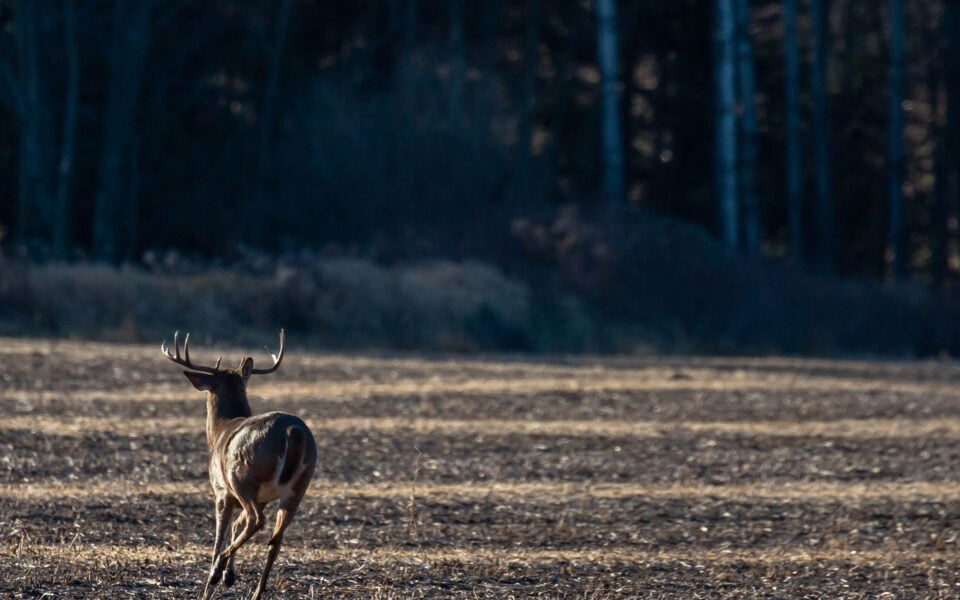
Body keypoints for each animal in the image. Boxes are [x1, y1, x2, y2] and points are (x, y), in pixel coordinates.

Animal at [162, 330, 318, 600]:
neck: (220, 429)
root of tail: (293, 432)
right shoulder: (262, 498)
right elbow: (237, 526)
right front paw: (229, 576)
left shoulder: (221, 492)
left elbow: (220, 536)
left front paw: (214, 581)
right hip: (299, 487)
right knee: (276, 539)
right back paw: (254, 591)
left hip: (243, 476)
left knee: (257, 521)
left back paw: (216, 572)